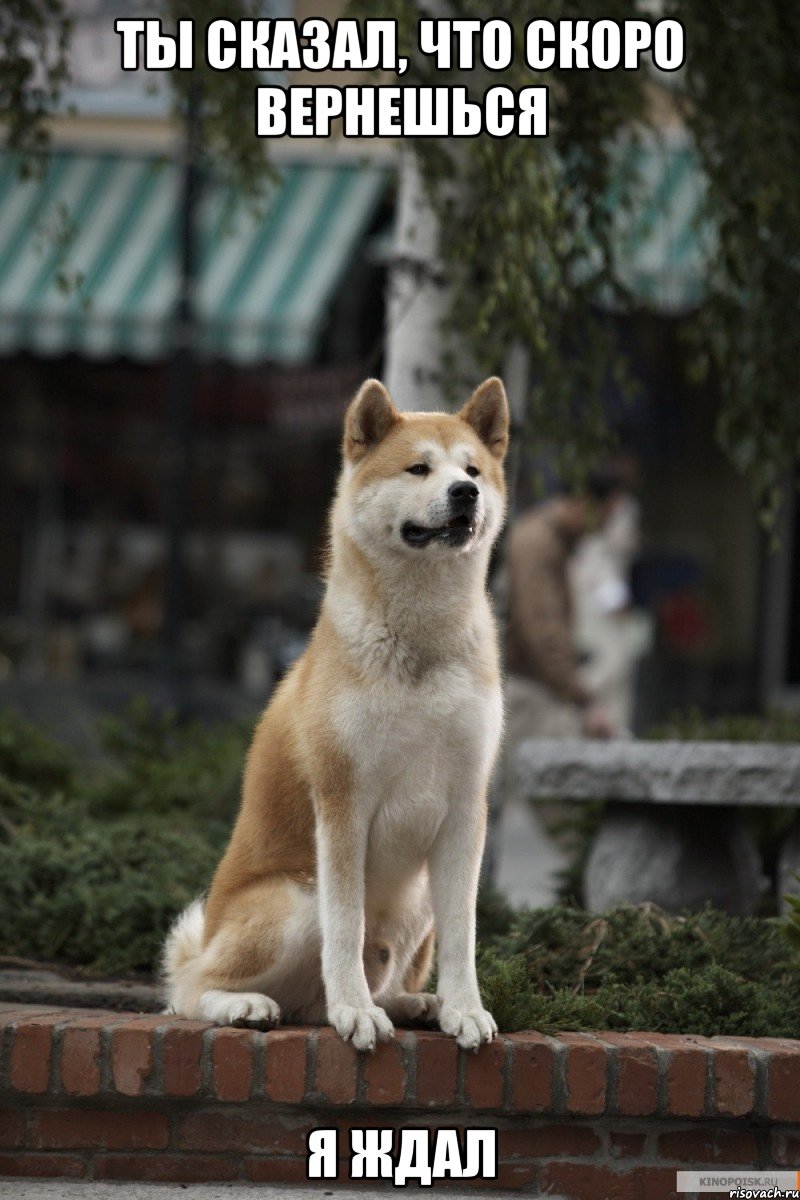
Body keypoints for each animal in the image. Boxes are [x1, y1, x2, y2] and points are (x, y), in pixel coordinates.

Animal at [165, 374, 510, 1051]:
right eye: (418, 468)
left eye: (473, 470)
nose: (465, 493)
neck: (420, 643)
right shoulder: (343, 801)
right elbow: (346, 928)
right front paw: (355, 1011)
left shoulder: (466, 806)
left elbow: (464, 935)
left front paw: (464, 1009)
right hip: (295, 900)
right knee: (189, 990)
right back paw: (250, 1005)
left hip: (417, 900)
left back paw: (415, 1003)